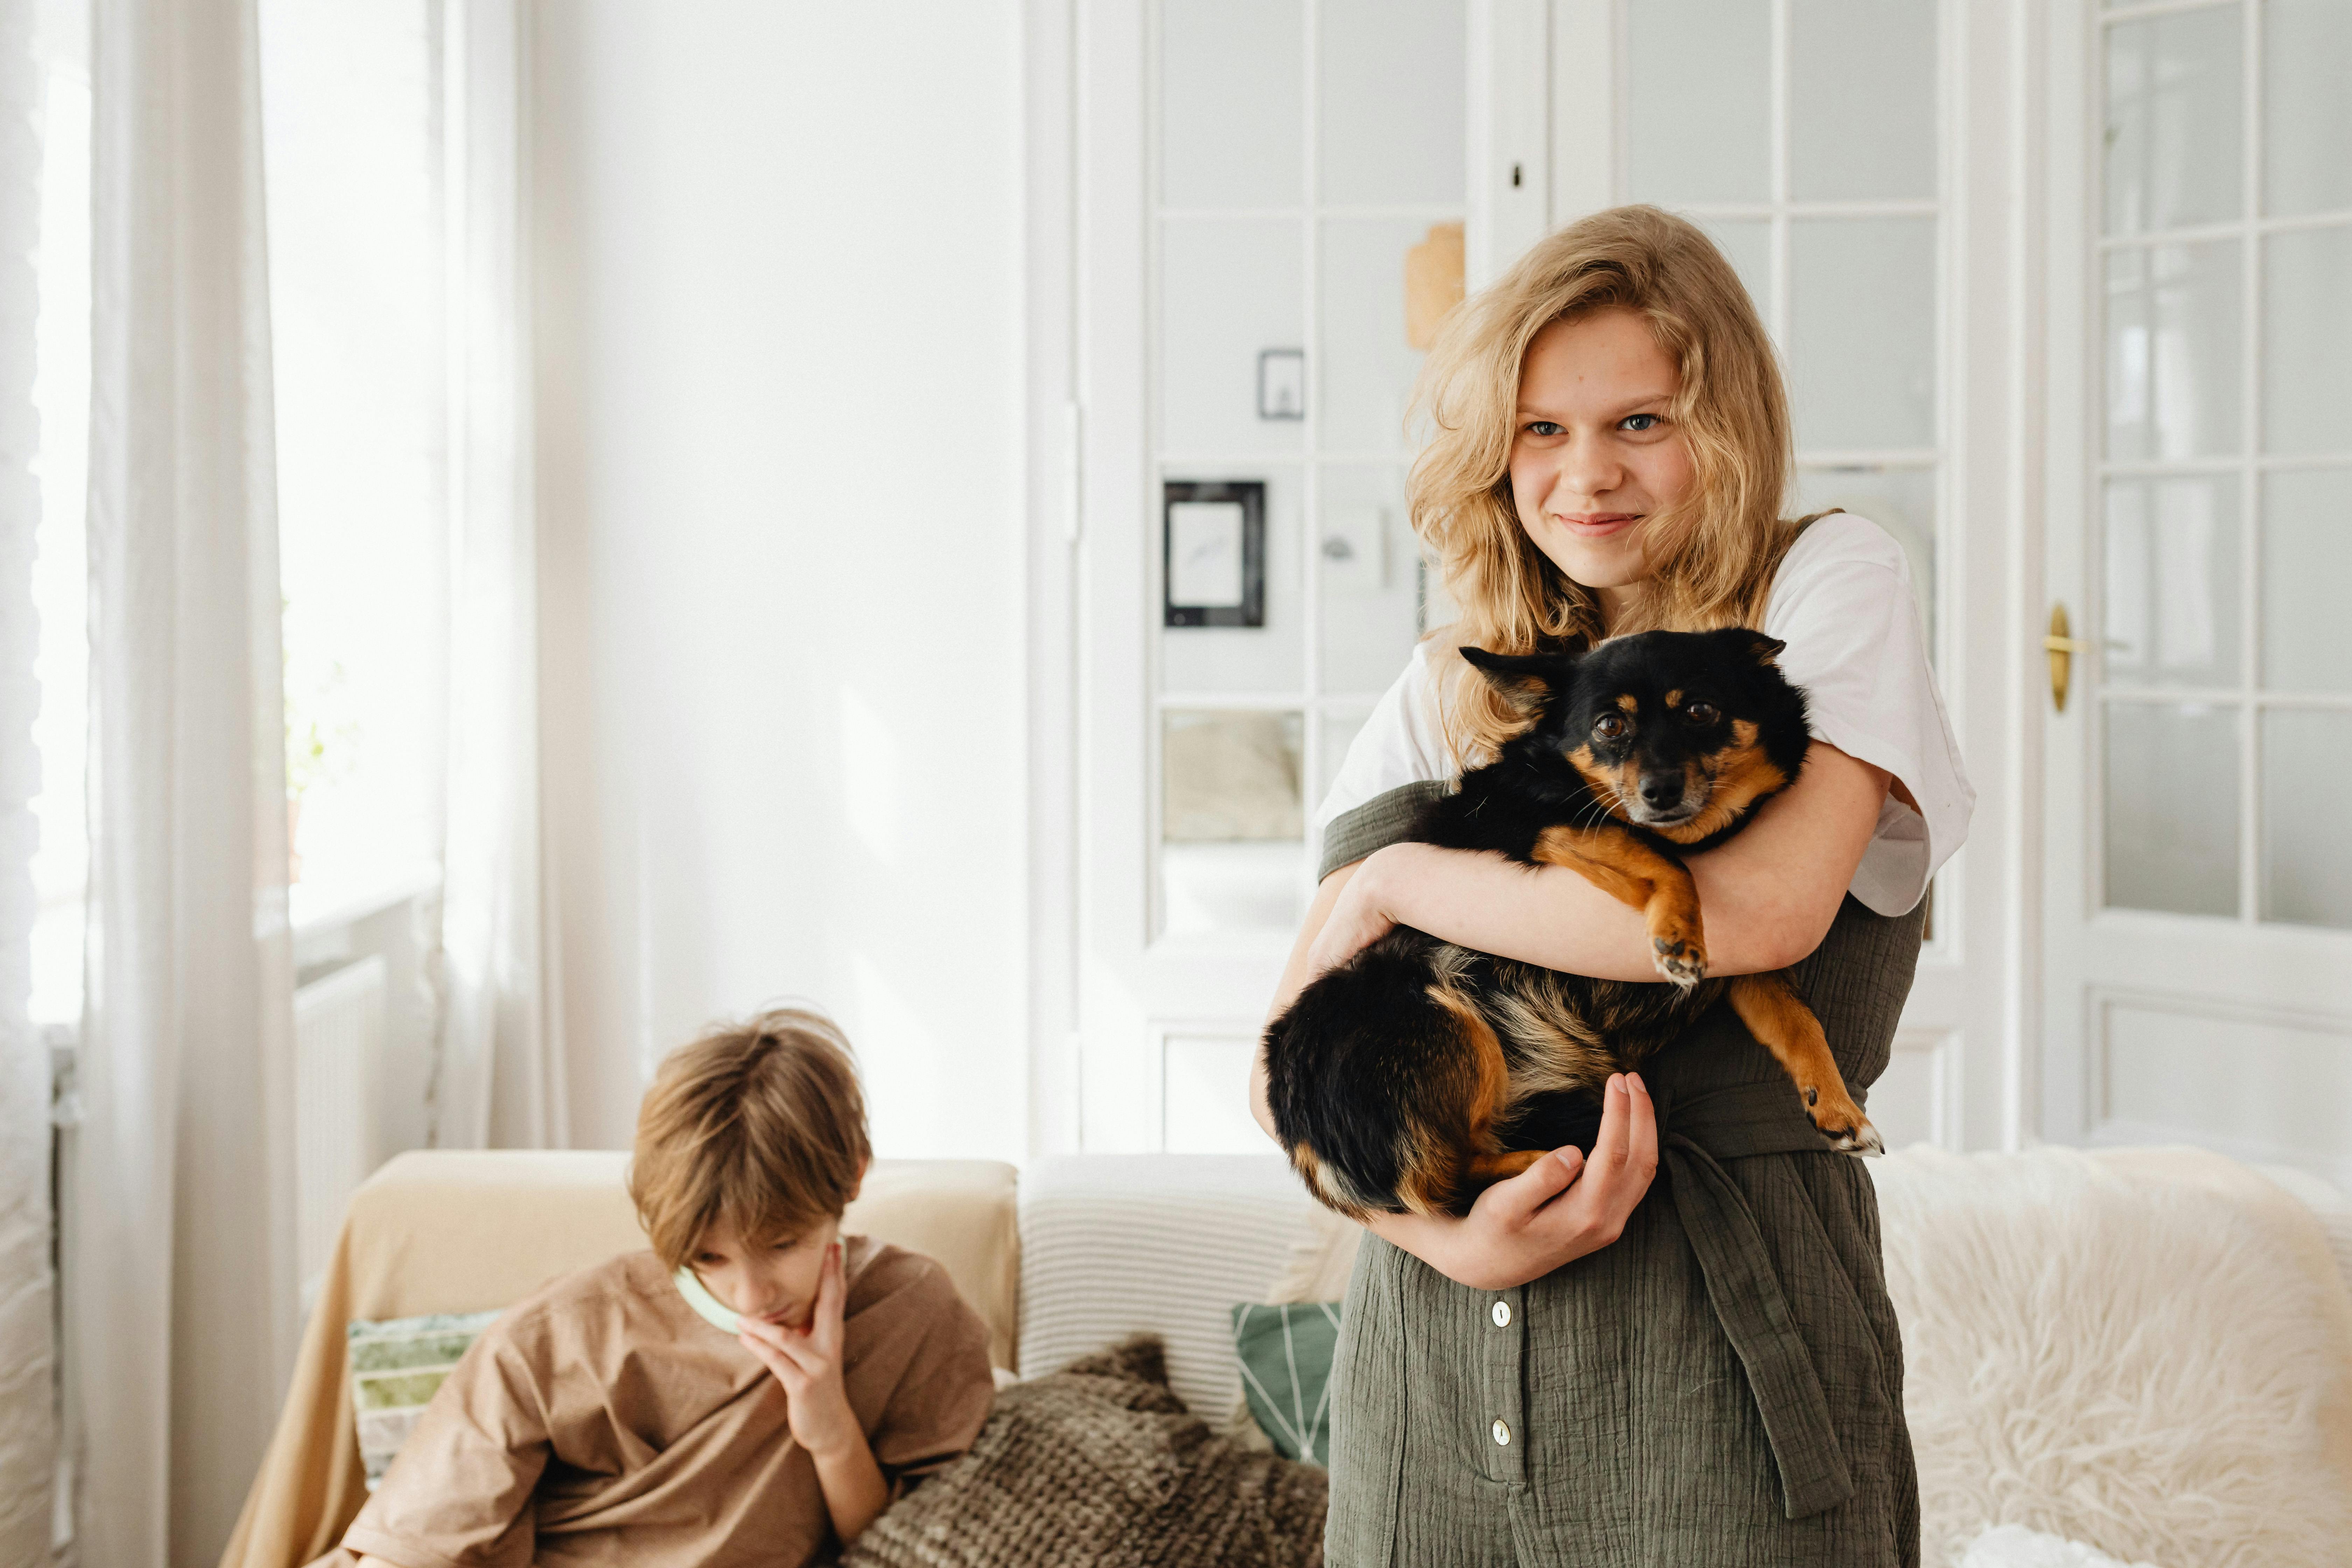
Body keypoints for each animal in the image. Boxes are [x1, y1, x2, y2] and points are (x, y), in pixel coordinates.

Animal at [1260, 630, 1882, 1222]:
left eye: (1701, 711)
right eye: (1610, 726)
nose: (1660, 792)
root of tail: (1311, 1153)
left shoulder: (1750, 970)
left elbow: (1798, 1022)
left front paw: (1837, 1106)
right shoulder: (1544, 824)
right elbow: (1660, 858)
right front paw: (1677, 931)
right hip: (1439, 1010)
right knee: (1442, 1187)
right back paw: (1545, 1162)